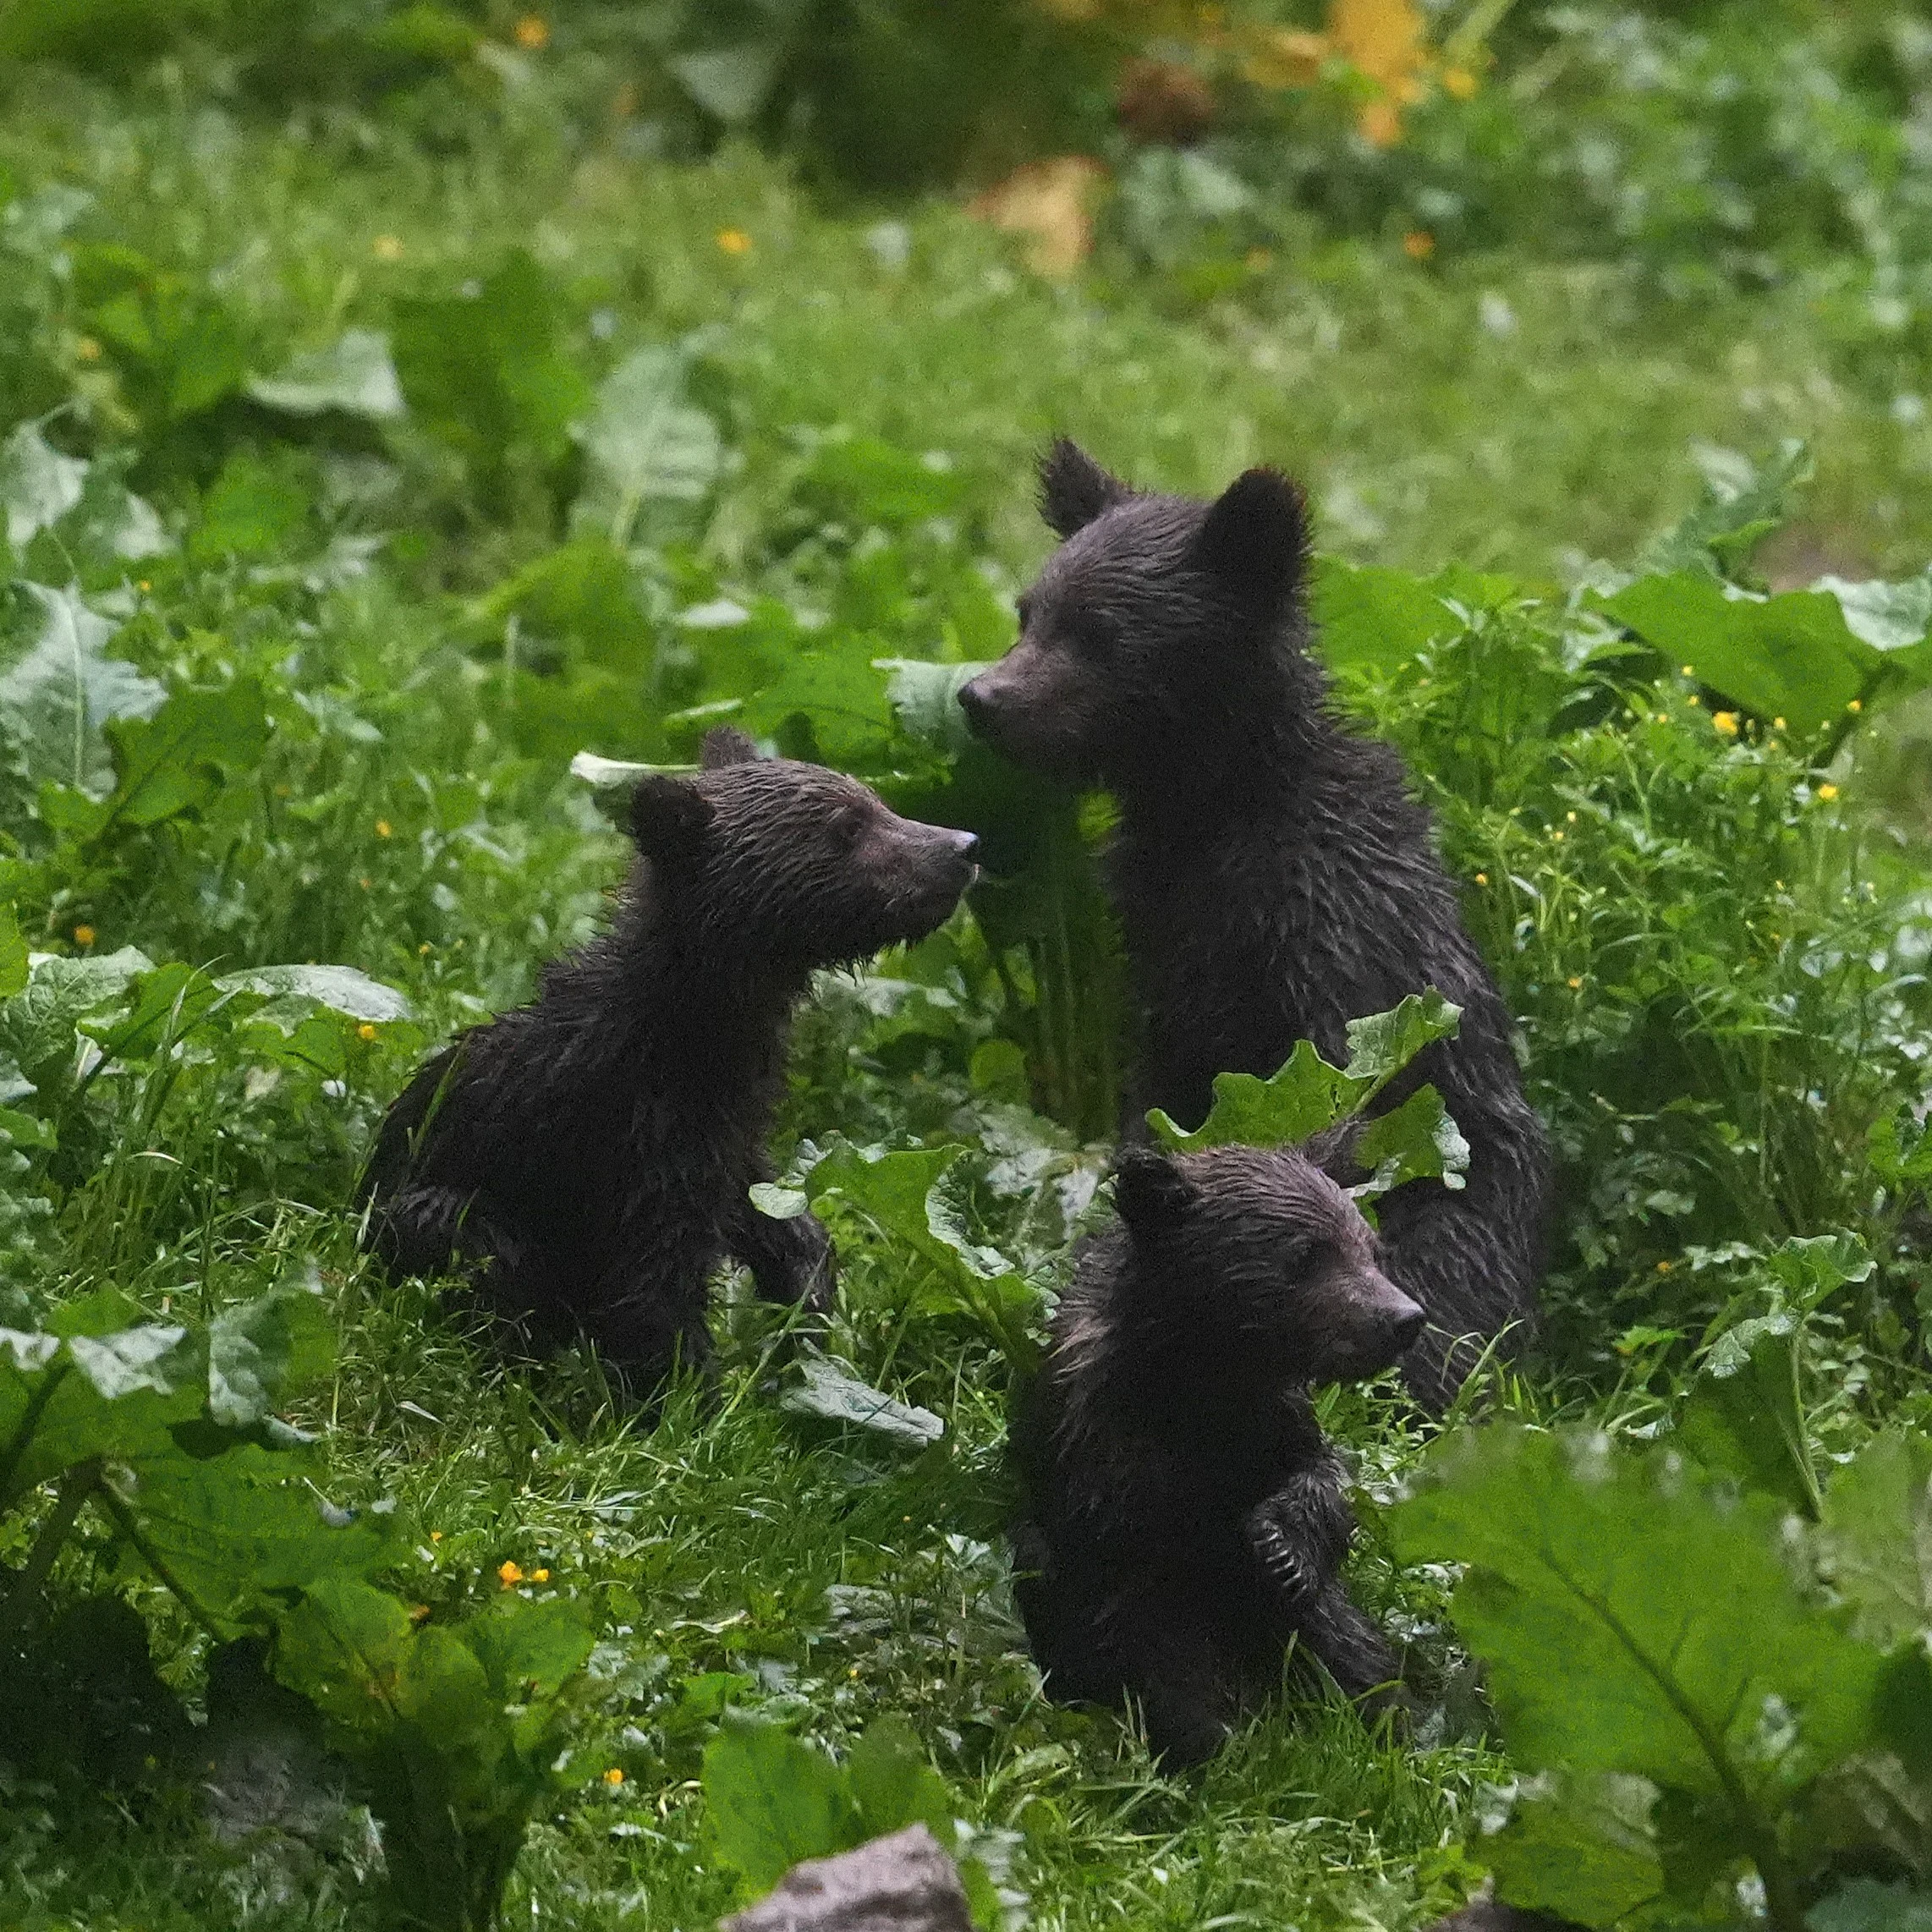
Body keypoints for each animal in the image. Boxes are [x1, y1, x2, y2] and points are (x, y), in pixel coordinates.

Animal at [359, 728, 980, 1388]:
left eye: (878, 799)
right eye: (848, 825)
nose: (965, 846)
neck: (683, 1040)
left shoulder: (729, 1141)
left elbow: (771, 1212)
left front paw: (809, 1297)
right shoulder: (639, 1158)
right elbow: (651, 1308)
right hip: (435, 1212)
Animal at [957, 440, 1550, 1411]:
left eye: (1100, 630)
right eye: (1028, 609)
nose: (981, 696)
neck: (1213, 814)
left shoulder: (1329, 938)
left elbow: (1343, 1094)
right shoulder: (1160, 954)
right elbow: (1163, 1103)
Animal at [1010, 1140, 1423, 1767]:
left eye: (1373, 1249)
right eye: (1307, 1252)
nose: (1405, 1318)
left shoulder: (1270, 1426)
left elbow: (1323, 1485)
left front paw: (1282, 1546)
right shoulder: (1107, 1473)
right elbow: (1152, 1637)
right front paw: (1213, 1738)